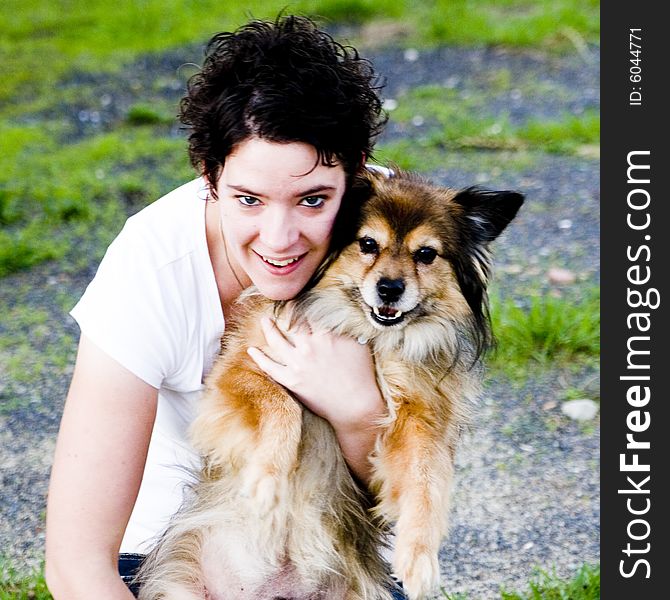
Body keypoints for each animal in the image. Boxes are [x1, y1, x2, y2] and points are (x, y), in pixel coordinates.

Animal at [136, 169, 524, 600]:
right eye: (368, 244)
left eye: (426, 254)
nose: (390, 288)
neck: (368, 338)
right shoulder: (237, 372)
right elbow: (281, 406)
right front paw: (267, 481)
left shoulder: (419, 419)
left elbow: (426, 481)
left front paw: (419, 557)